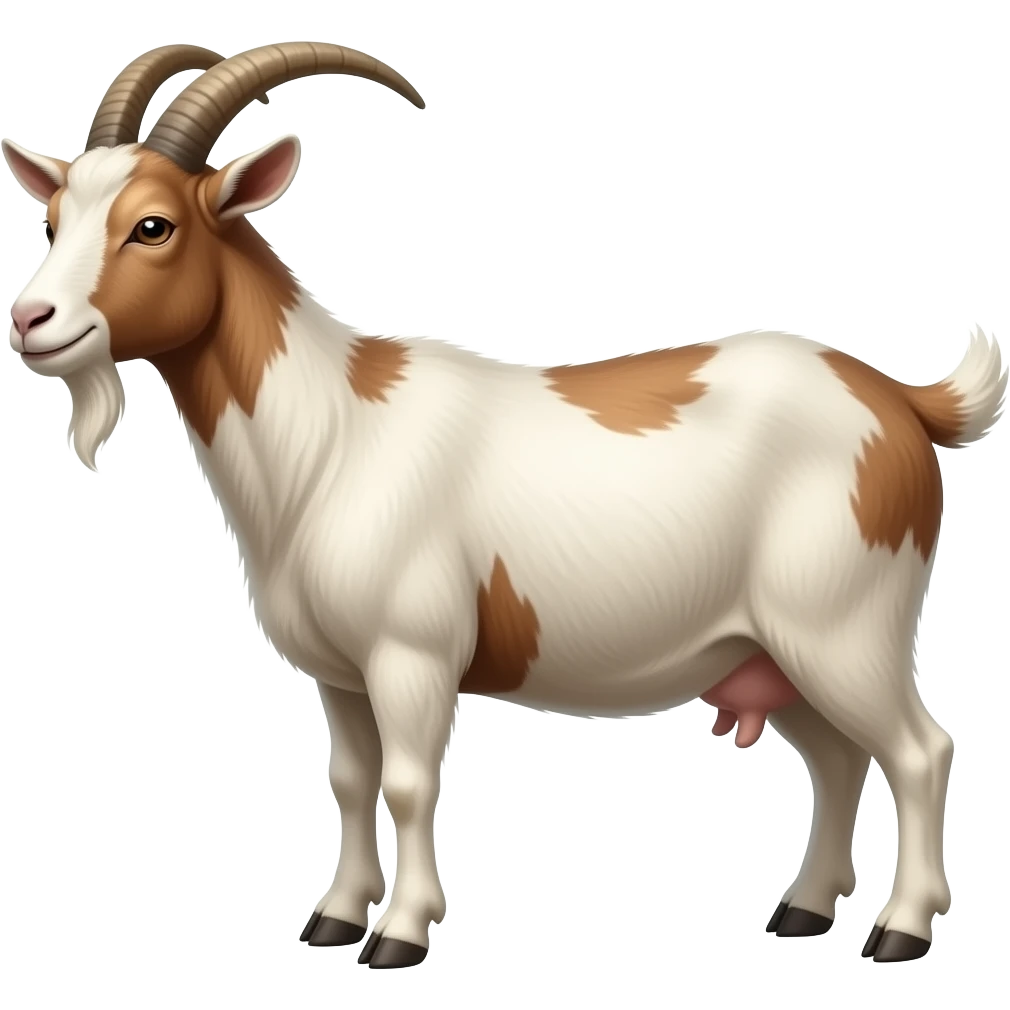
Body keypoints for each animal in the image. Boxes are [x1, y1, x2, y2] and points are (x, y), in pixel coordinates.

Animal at [5, 42, 1005, 969]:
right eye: (53, 217)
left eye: (154, 226)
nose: (31, 320)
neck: (330, 436)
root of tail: (899, 400)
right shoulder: (340, 672)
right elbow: (351, 779)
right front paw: (335, 918)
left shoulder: (412, 655)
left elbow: (409, 783)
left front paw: (399, 934)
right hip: (768, 646)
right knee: (839, 758)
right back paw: (802, 910)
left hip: (844, 624)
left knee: (919, 749)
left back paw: (900, 930)